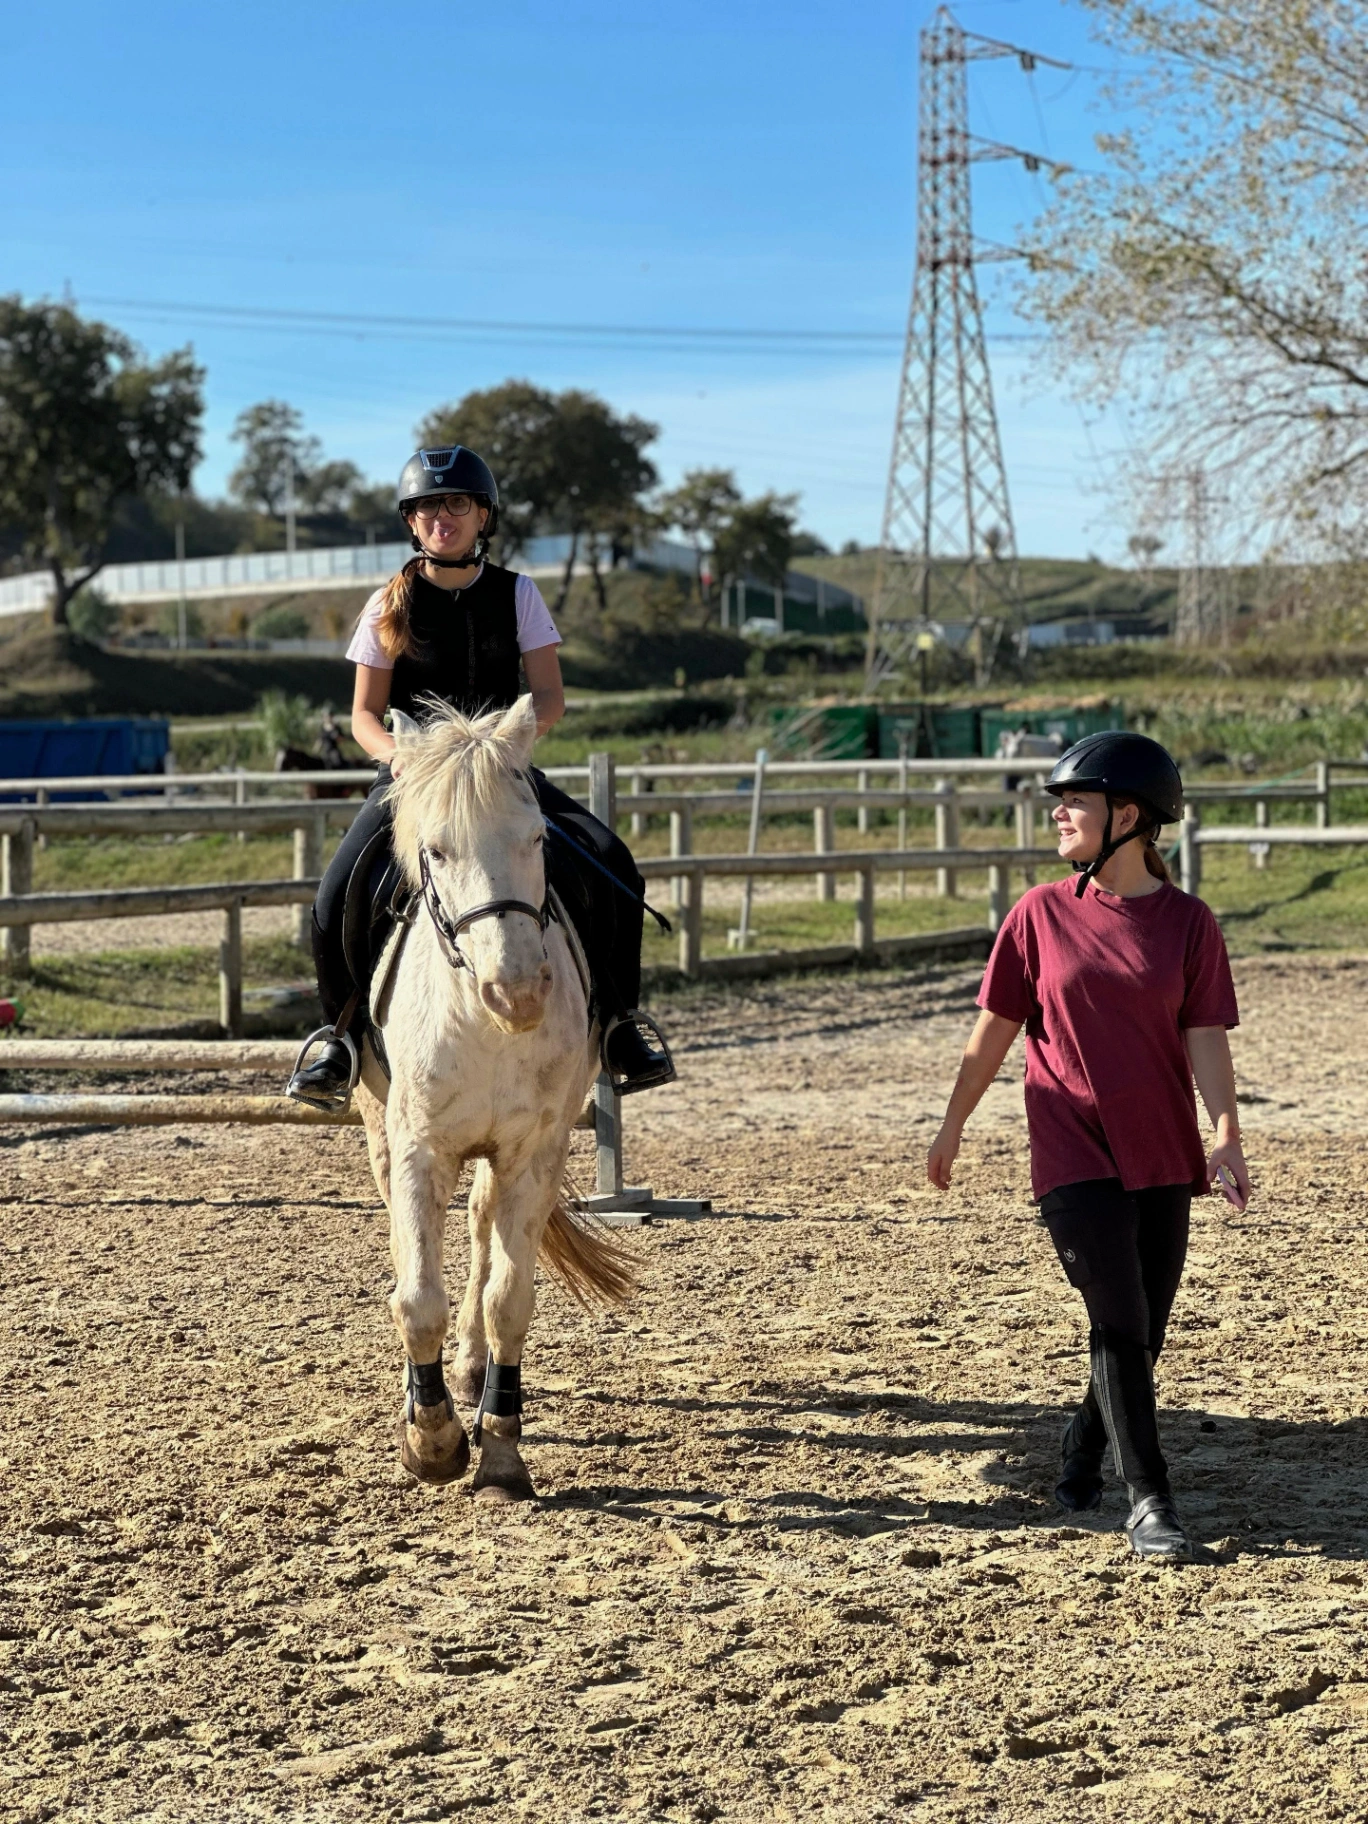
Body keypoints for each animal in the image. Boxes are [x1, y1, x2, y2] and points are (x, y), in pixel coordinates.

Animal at [352, 693, 635, 1502]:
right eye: (438, 851)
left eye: (537, 838)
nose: (517, 995)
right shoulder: (418, 1148)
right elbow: (417, 1297)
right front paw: (432, 1441)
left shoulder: (532, 1151)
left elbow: (510, 1297)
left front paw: (501, 1449)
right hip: (381, 1128)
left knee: (480, 1231)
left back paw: (472, 1371)